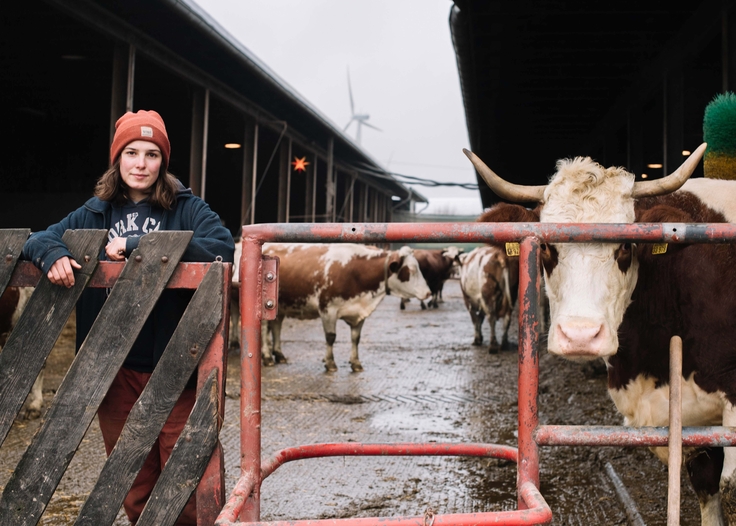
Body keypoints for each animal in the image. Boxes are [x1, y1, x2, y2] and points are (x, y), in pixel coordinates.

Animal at [260, 245, 428, 374]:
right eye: (411, 270)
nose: (428, 292)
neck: (356, 272)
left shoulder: (359, 313)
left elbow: (355, 339)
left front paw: (356, 363)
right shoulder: (327, 309)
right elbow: (330, 337)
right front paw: (330, 363)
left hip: (281, 306)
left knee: (276, 326)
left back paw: (279, 355)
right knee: (264, 329)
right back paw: (267, 357)